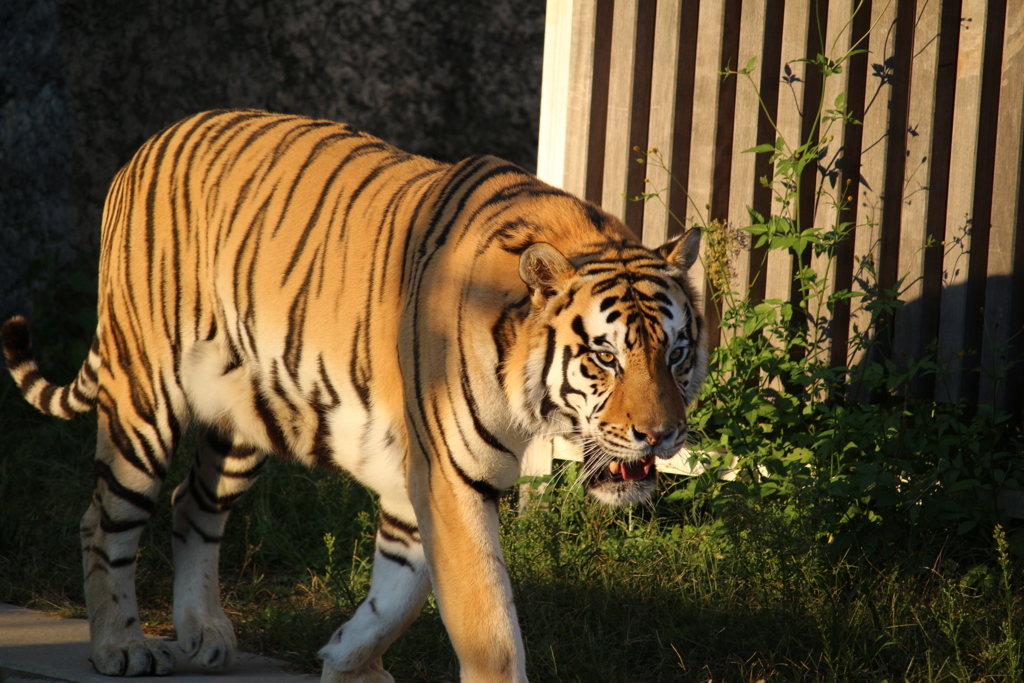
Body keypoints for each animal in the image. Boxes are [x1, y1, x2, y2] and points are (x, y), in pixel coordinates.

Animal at [0, 109, 708, 679]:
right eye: (606, 357)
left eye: (675, 354)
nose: (661, 435)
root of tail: (148, 146)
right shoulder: (450, 477)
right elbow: (488, 627)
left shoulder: (417, 480)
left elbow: (396, 595)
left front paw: (346, 660)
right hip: (142, 399)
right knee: (105, 518)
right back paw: (120, 646)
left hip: (246, 421)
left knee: (192, 506)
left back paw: (205, 633)